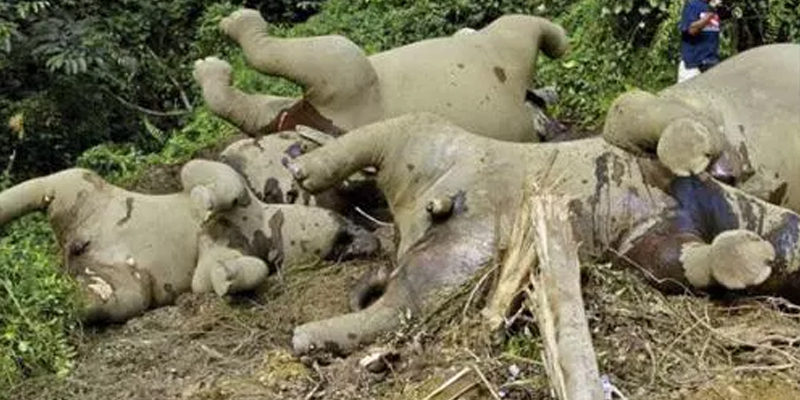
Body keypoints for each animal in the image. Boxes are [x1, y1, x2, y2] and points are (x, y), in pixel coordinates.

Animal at [0, 159, 380, 322]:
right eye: (345, 233)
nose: (367, 241)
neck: (266, 227)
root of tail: (72, 247)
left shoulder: (222, 255)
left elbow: (219, 276)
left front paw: (228, 278)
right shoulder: (238, 191)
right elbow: (207, 175)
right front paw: (204, 200)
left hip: (123, 288)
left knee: (94, 301)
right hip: (75, 184)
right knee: (38, 187)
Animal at [194, 7, 568, 143]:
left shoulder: (508, 46)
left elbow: (529, 25)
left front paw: (561, 45)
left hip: (346, 87)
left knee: (323, 55)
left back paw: (226, 37)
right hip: (323, 99)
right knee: (266, 110)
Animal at [282, 112, 800, 356]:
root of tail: (414, 219)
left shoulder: (649, 247)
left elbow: (684, 261)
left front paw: (743, 259)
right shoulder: (646, 165)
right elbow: (641, 123)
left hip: (451, 264)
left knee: (402, 305)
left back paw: (308, 335)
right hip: (428, 140)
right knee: (388, 130)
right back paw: (304, 168)